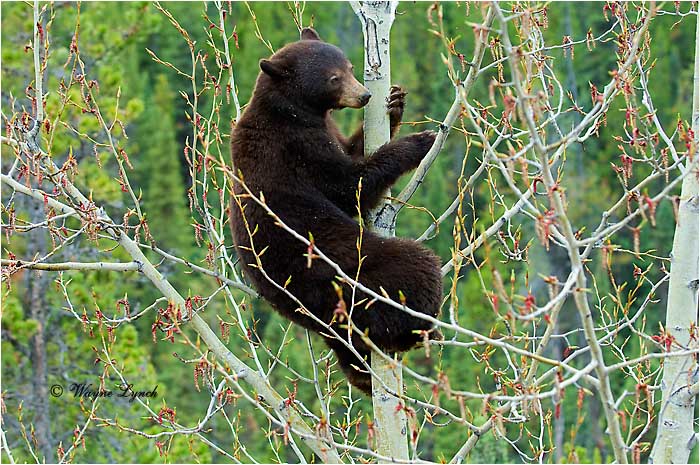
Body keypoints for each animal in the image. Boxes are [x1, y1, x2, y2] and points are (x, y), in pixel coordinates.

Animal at [229, 27, 443, 394]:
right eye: (333, 78)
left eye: (350, 67)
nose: (364, 96)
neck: (290, 112)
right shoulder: (298, 149)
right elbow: (350, 184)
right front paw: (418, 142)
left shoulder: (324, 131)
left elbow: (351, 153)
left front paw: (396, 103)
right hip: (357, 276)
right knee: (419, 269)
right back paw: (421, 325)